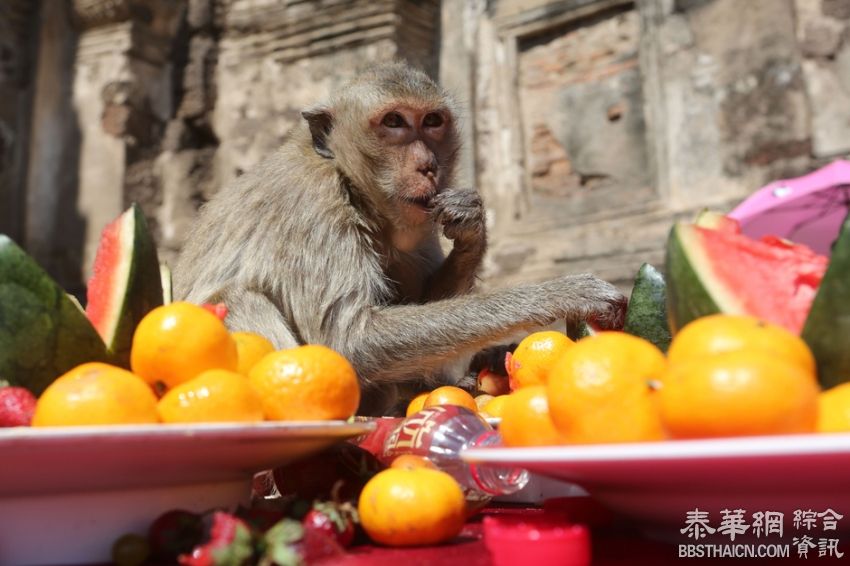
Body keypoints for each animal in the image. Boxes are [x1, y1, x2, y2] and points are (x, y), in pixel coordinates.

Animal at [174, 62, 624, 418]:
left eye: (432, 122)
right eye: (393, 122)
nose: (428, 165)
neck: (350, 183)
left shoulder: (418, 222)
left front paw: (471, 224)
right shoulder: (311, 208)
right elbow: (350, 339)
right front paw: (562, 293)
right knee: (236, 299)